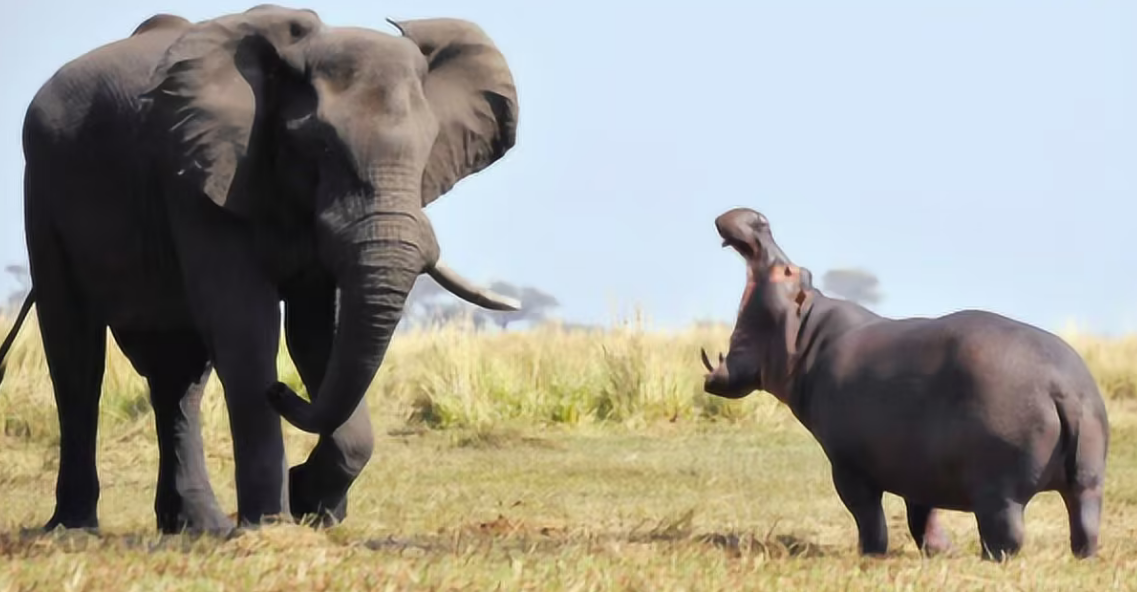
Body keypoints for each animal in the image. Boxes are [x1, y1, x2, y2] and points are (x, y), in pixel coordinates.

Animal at [2, 4, 521, 534]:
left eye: (429, 146)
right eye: (319, 146)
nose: (281, 390)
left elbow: (318, 336)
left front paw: (312, 504)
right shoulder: (199, 175)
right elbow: (247, 328)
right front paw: (272, 522)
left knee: (177, 374)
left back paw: (199, 527)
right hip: (43, 188)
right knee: (76, 354)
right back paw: (74, 528)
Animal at [700, 207, 1109, 561]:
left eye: (788, 271)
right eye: (803, 272)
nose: (759, 219)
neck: (807, 335)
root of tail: (1063, 387)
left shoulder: (848, 466)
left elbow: (867, 515)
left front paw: (871, 554)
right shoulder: (919, 467)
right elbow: (921, 517)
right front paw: (942, 552)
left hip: (999, 490)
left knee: (1007, 535)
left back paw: (988, 559)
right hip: (1089, 478)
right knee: (1085, 522)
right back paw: (1081, 557)